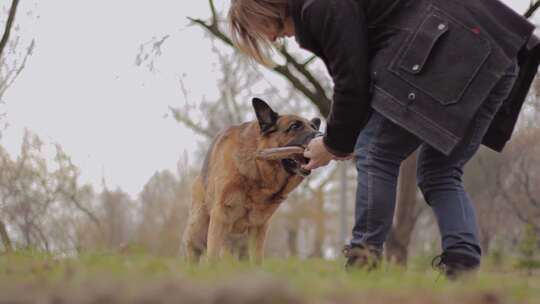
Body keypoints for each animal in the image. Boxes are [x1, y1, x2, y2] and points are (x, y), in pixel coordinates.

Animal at [184, 98, 322, 262]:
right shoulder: (221, 216)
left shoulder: (259, 226)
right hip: (199, 228)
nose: (321, 136)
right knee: (194, 251)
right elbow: (213, 256)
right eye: (294, 126)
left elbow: (256, 259)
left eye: (314, 127)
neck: (258, 173)